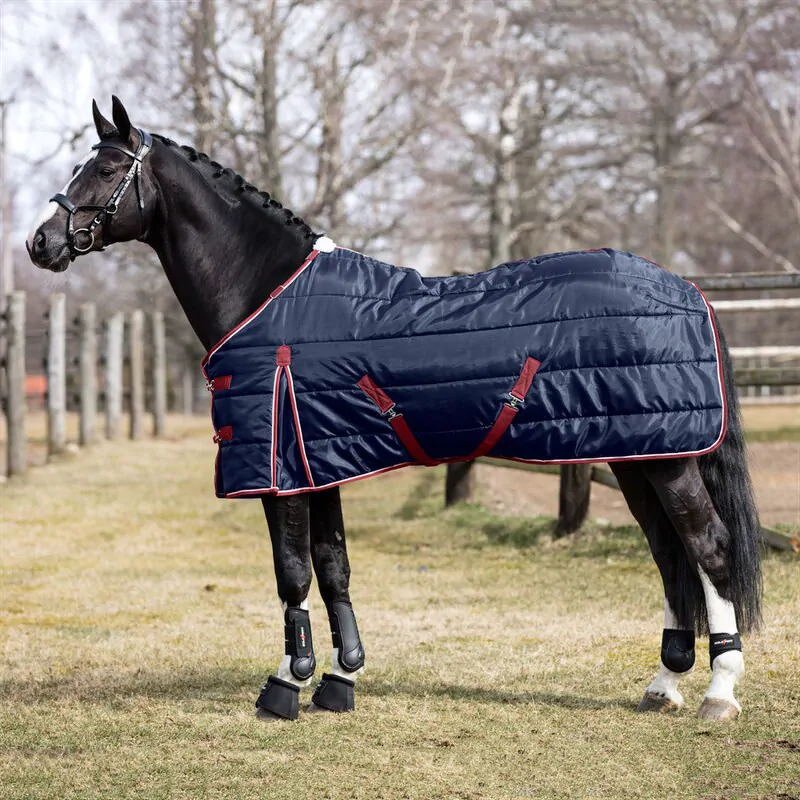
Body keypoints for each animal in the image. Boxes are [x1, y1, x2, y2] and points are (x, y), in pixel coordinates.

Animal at [27, 97, 761, 722]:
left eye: (107, 169)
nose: (41, 243)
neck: (267, 295)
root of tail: (687, 288)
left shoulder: (279, 471)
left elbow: (293, 574)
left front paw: (286, 684)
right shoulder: (317, 462)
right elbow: (333, 568)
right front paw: (340, 678)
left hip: (667, 461)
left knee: (710, 549)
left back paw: (719, 694)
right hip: (638, 455)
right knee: (670, 556)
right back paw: (664, 683)